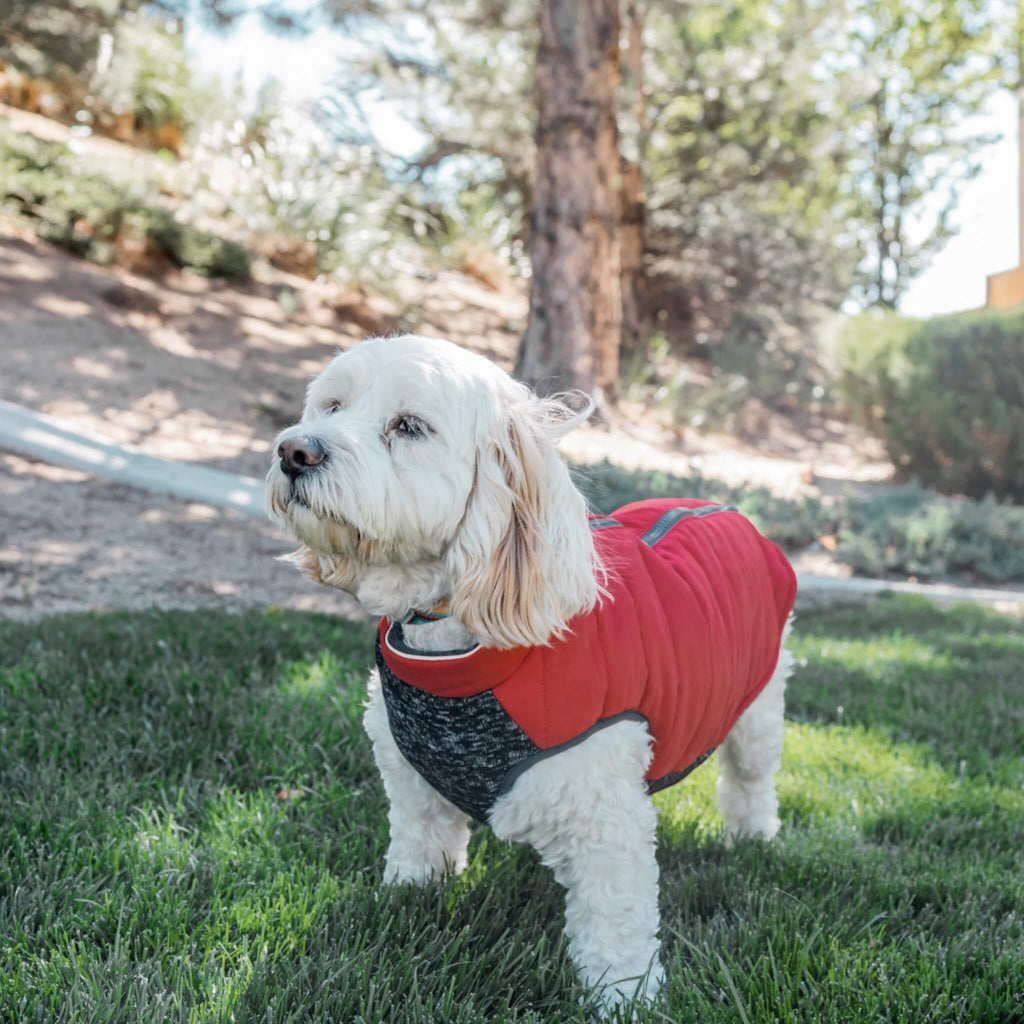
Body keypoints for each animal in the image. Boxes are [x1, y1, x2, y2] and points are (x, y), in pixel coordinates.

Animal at [266, 335, 798, 1015]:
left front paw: (625, 1000)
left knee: (750, 780)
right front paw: (405, 908)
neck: (454, 653)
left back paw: (752, 838)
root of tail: (722, 505)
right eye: (332, 406)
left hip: (760, 709)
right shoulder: (412, 787)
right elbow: (418, 854)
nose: (294, 451)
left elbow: (616, 925)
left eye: (409, 426)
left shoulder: (604, 820)